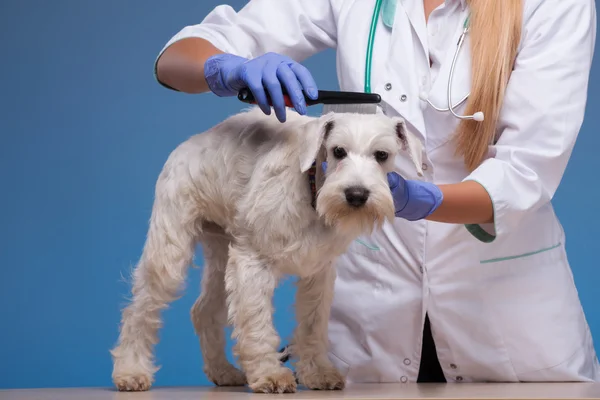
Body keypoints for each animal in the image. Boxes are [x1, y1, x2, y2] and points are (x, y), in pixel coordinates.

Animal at [110, 106, 424, 394]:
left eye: (382, 155)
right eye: (338, 151)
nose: (356, 195)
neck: (311, 189)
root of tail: (190, 143)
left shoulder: (318, 273)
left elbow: (312, 326)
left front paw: (318, 373)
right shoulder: (252, 263)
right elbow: (257, 323)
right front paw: (270, 374)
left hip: (221, 255)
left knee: (203, 312)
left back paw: (222, 371)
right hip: (170, 252)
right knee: (140, 310)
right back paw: (131, 371)